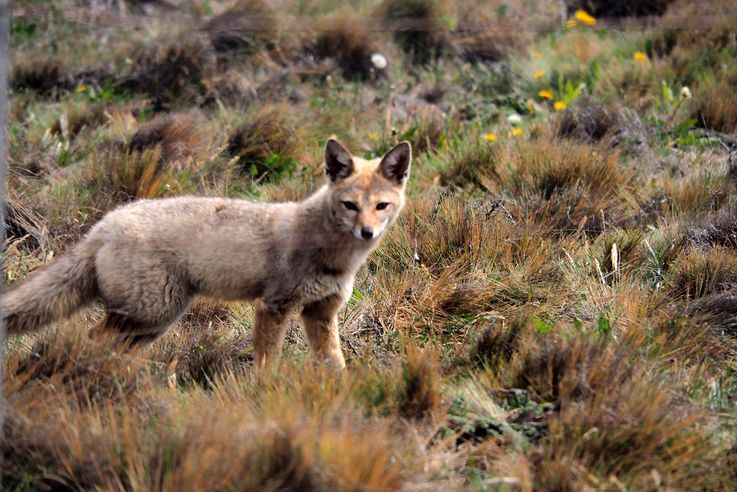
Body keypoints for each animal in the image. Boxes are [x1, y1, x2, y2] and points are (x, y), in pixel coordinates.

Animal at [2, 140, 412, 370]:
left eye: (381, 206)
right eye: (349, 205)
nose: (367, 232)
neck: (336, 257)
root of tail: (106, 223)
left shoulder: (320, 314)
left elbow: (335, 366)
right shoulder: (273, 307)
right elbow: (267, 366)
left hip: (150, 325)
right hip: (149, 314)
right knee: (90, 340)